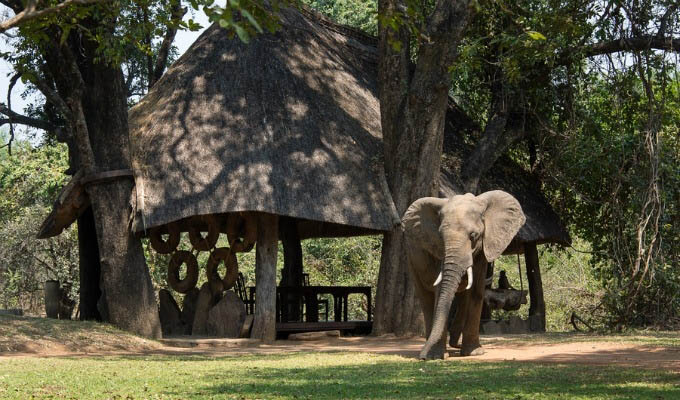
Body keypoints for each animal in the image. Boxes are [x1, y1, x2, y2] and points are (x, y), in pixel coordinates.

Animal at [404, 191, 524, 360]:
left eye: (473, 236)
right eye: (440, 237)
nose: (422, 357)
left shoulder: (483, 249)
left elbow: (476, 292)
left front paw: (475, 353)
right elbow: (440, 291)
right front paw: (435, 356)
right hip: (411, 256)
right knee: (425, 298)